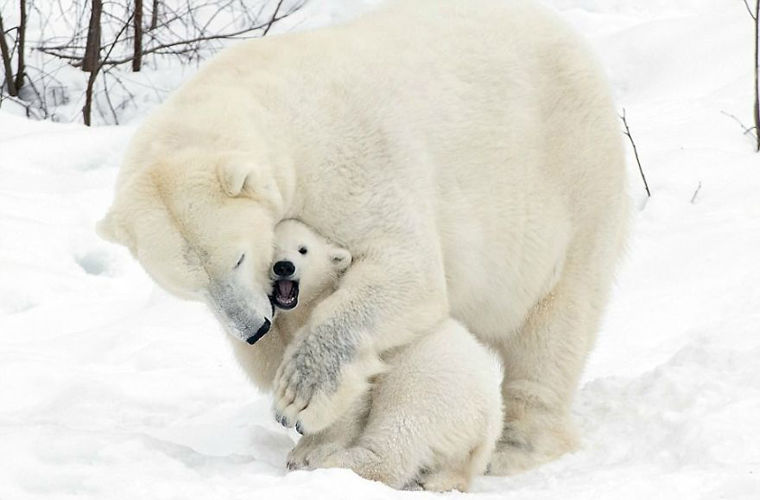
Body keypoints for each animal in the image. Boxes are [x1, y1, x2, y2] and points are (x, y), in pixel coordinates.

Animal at [96, 0, 628, 472]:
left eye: (237, 259)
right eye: (190, 287)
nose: (253, 329)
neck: (274, 108)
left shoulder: (354, 160)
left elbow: (406, 270)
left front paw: (299, 394)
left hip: (569, 182)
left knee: (555, 323)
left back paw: (518, 445)